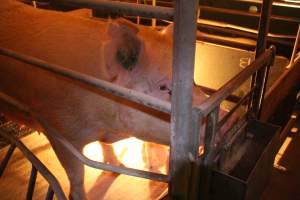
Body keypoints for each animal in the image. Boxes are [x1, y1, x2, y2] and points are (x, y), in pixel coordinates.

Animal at [0, 0, 234, 199]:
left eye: (193, 80)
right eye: (163, 87)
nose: (229, 117)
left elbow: (105, 148)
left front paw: (117, 169)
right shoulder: (56, 129)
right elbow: (76, 176)